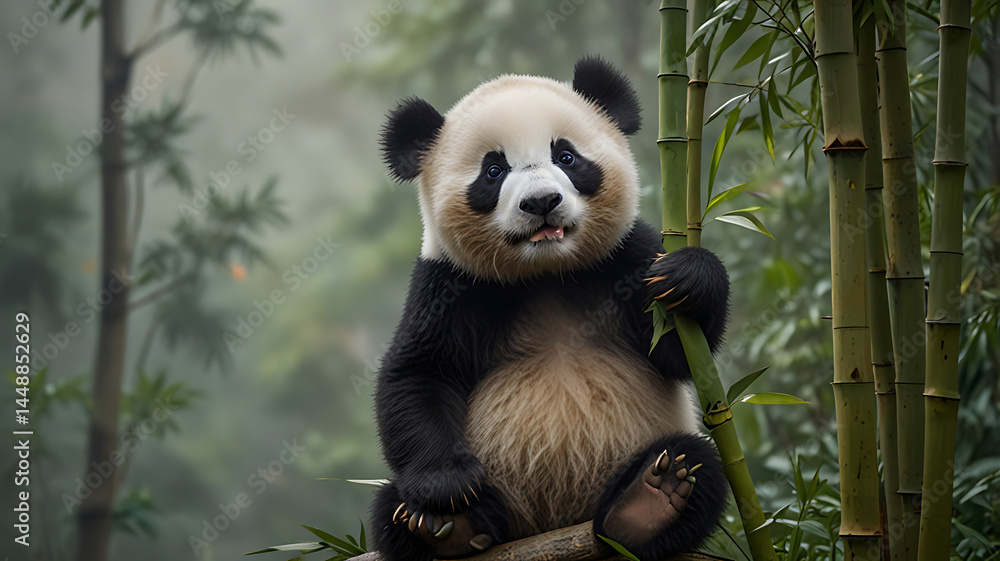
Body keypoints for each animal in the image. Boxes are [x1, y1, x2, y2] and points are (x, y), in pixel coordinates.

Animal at [371, 56, 729, 561]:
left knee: (696, 466)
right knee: (392, 507)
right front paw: (447, 489)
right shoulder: (451, 285)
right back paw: (445, 525)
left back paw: (649, 501)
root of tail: (554, 526)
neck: (546, 272)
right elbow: (418, 371)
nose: (541, 201)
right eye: (493, 170)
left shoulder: (624, 259)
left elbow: (679, 352)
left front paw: (689, 277)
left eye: (567, 157)